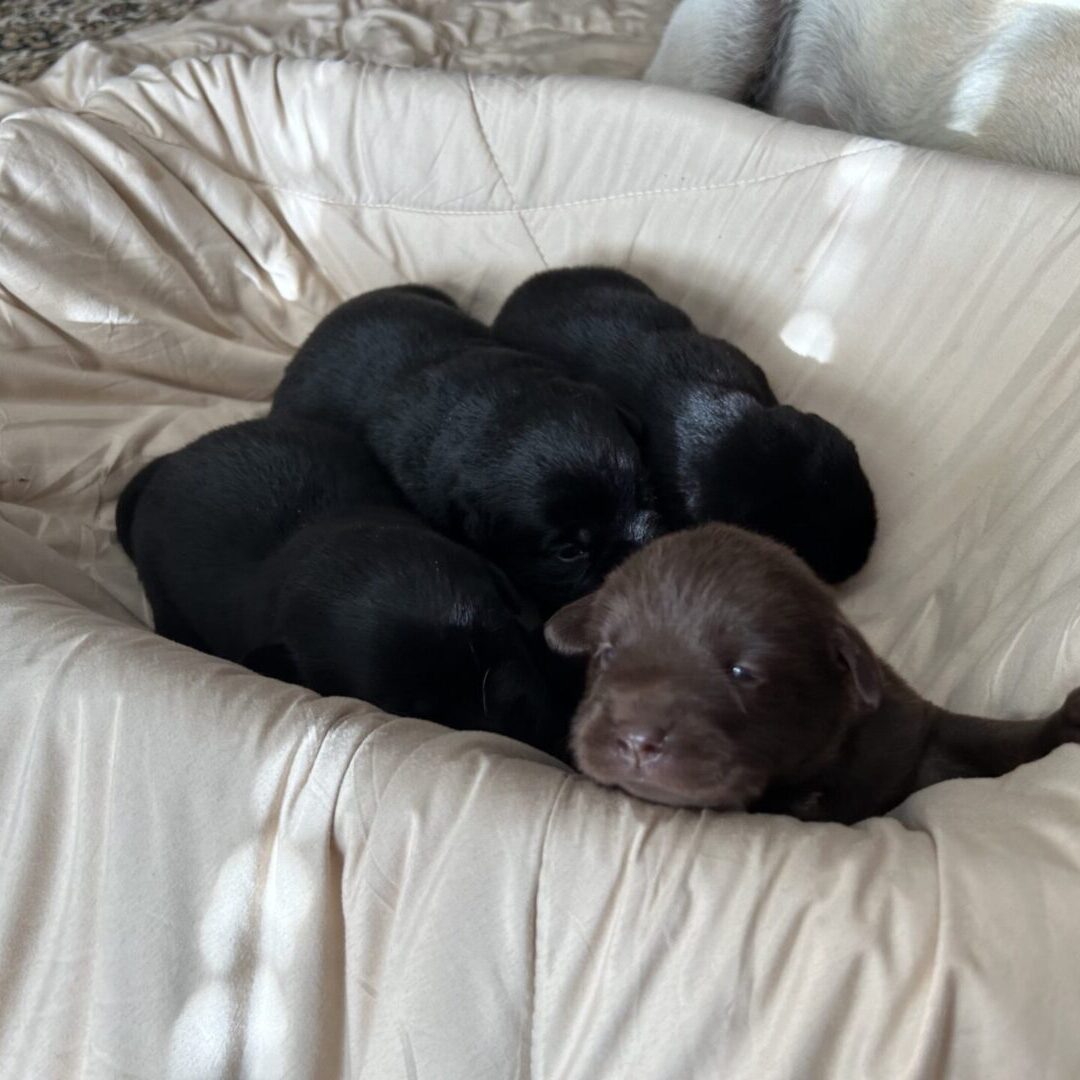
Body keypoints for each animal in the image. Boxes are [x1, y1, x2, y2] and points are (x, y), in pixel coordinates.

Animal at [548, 527, 1080, 820]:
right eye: (607, 653)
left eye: (742, 671)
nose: (636, 739)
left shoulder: (910, 735)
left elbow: (989, 739)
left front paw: (1064, 723)